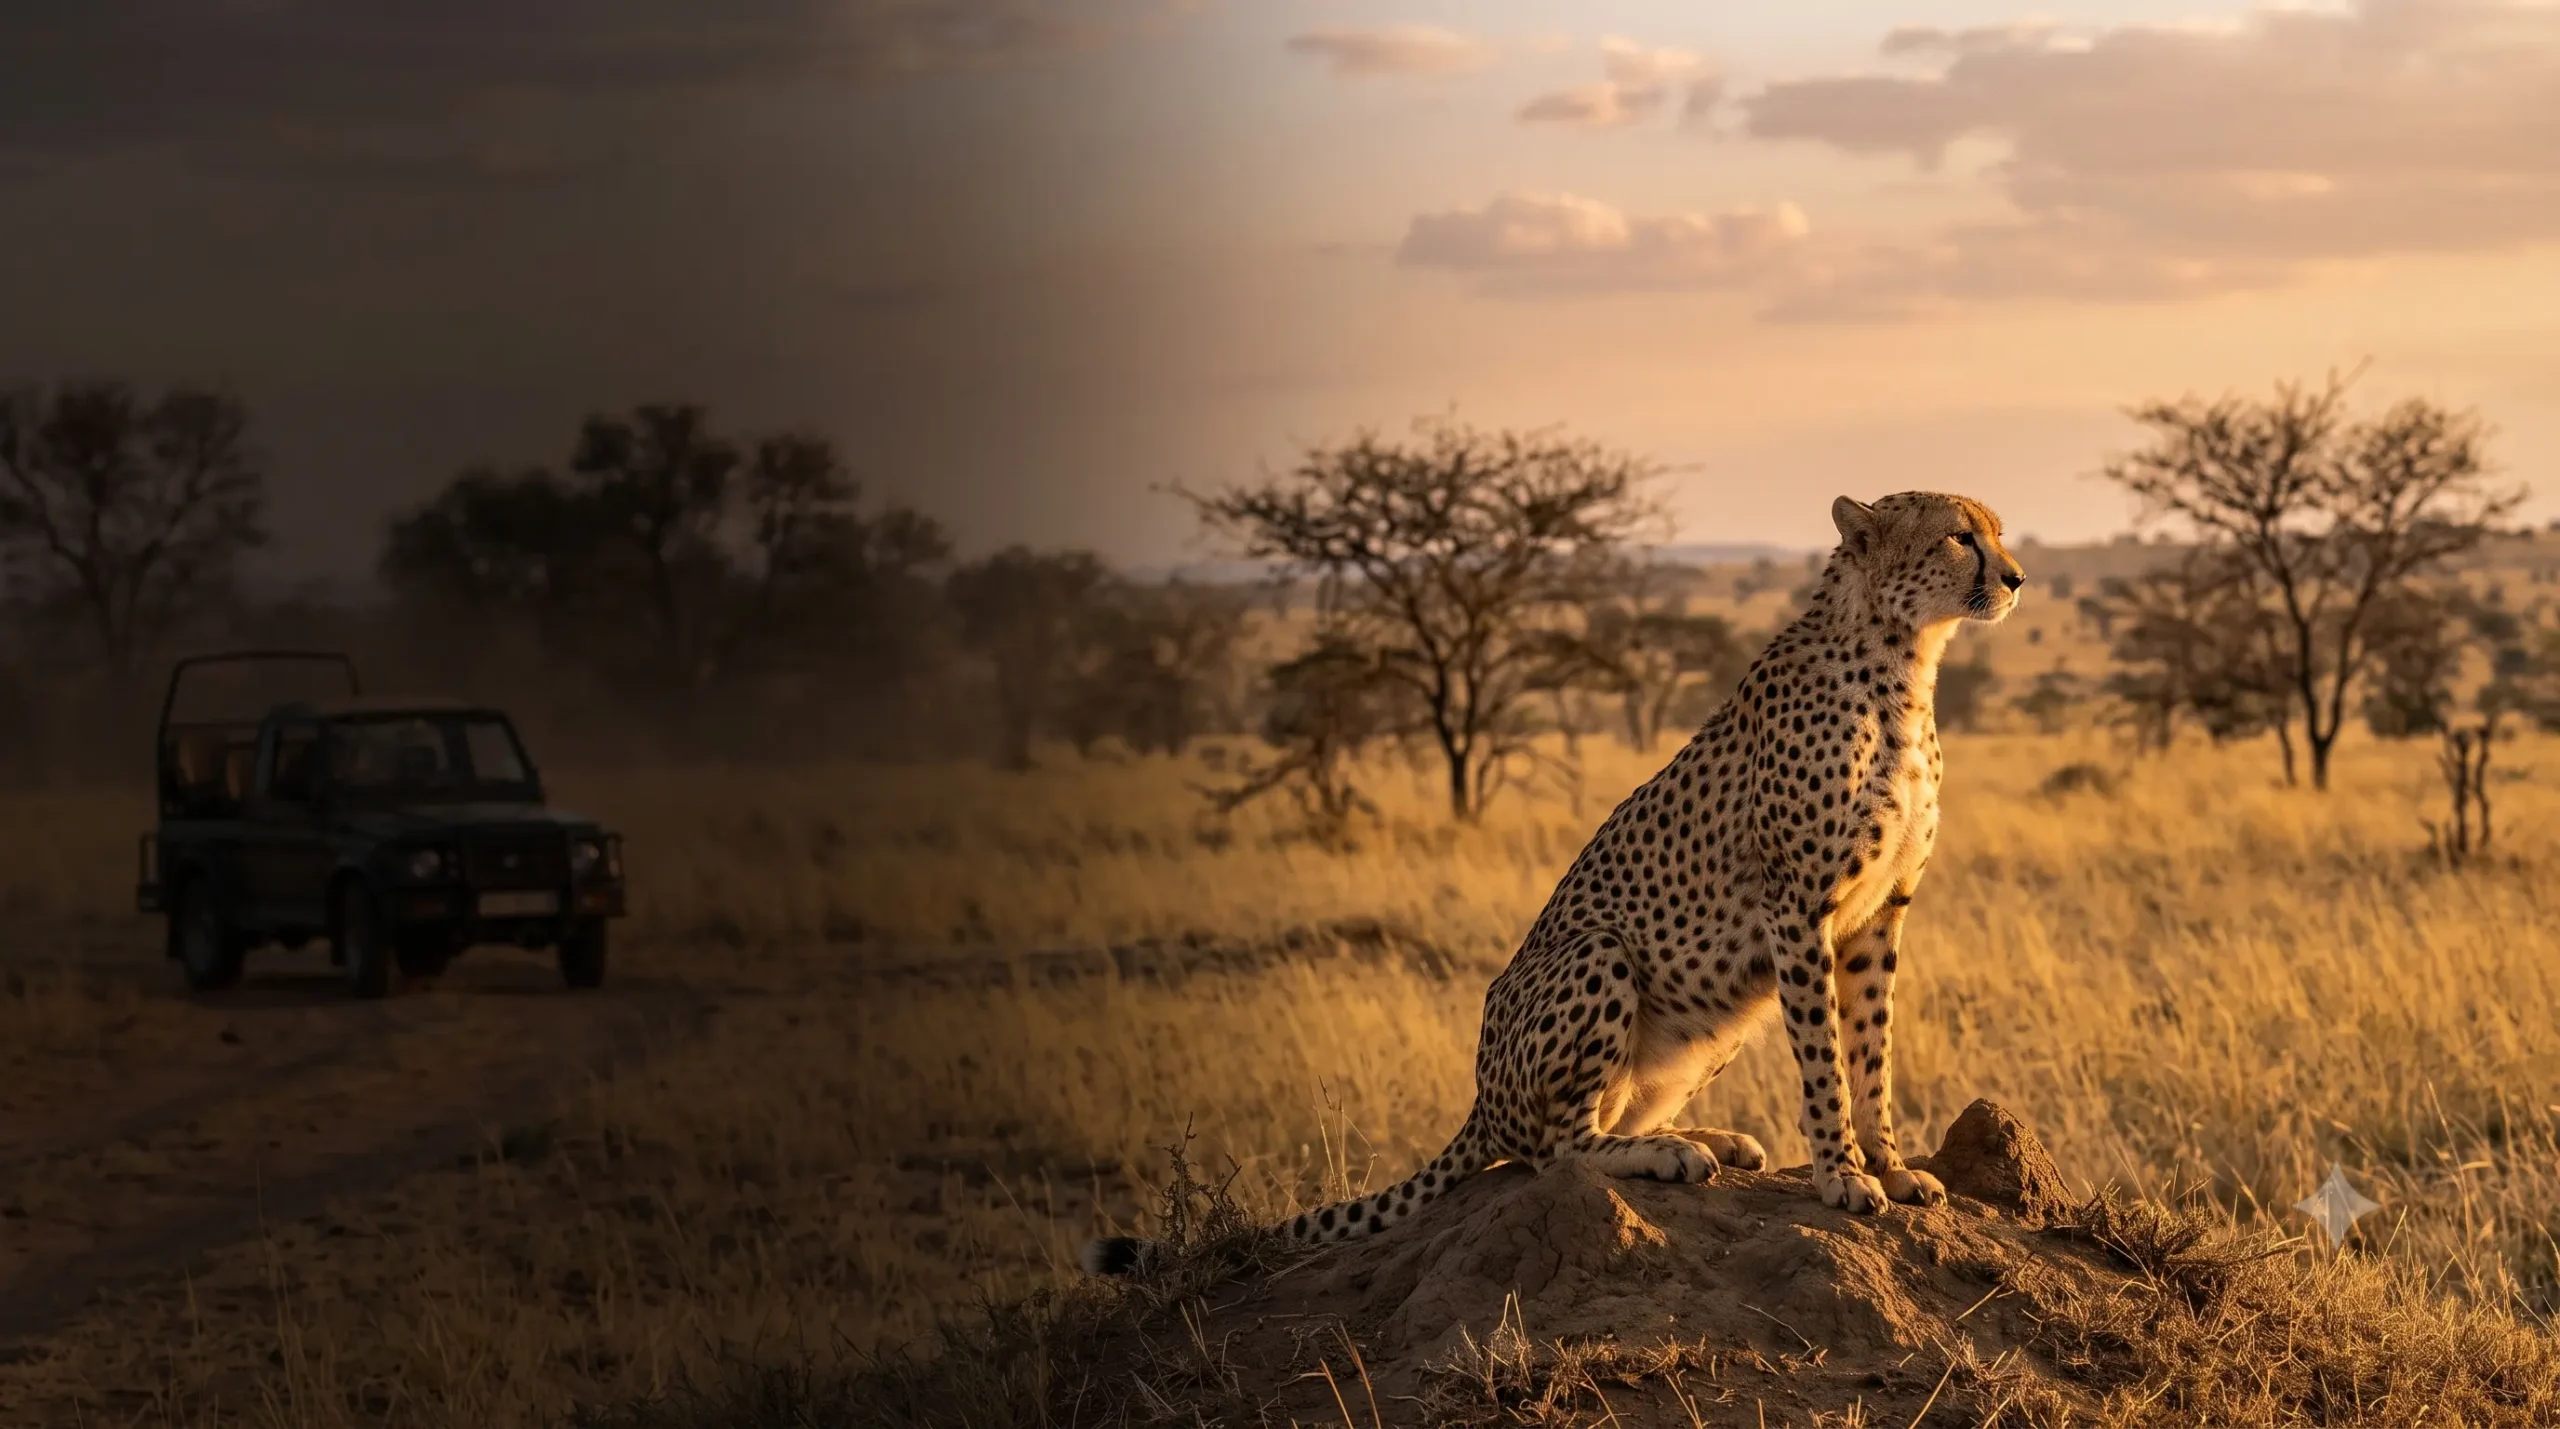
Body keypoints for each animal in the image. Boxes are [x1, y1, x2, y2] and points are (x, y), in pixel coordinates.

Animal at [1085, 491, 2025, 1276]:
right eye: (1959, 536)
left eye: (1997, 530)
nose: (2016, 577)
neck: (1901, 663)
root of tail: (1478, 1097)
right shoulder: (1797, 905)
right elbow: (1827, 1057)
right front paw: (1840, 1173)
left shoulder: (1876, 915)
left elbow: (1872, 1049)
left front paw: (1892, 1167)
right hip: (1600, 953)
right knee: (1554, 1143)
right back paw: (1669, 1152)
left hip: (1716, 1019)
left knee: (1602, 1116)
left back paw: (1706, 1137)